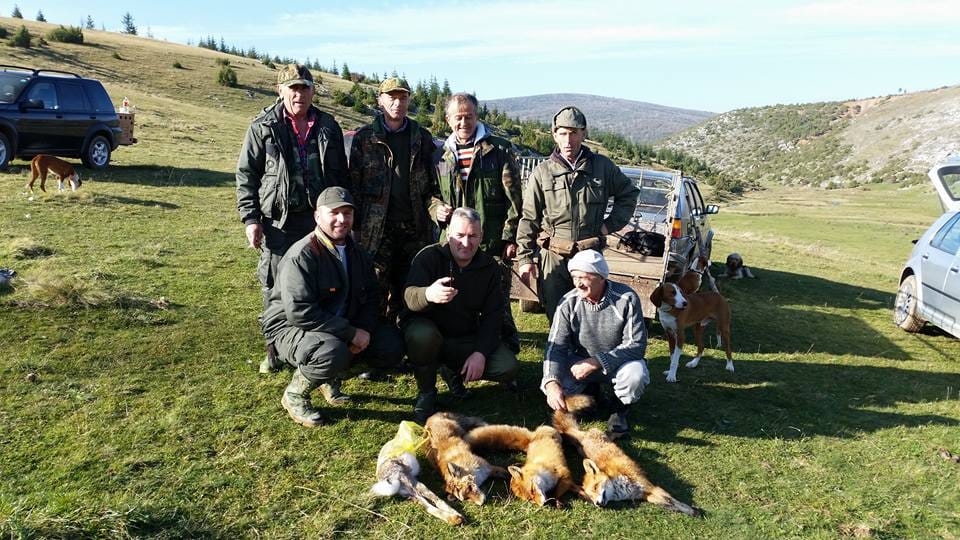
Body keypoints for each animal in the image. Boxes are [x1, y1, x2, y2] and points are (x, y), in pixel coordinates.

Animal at [552, 394, 700, 516]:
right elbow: (669, 505)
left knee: (611, 433)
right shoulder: (647, 494)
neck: (621, 488)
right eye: (590, 496)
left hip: (603, 436)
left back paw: (622, 433)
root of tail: (579, 436)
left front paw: (692, 511)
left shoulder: (649, 486)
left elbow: (673, 501)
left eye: (595, 487)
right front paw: (690, 511)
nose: (598, 504)